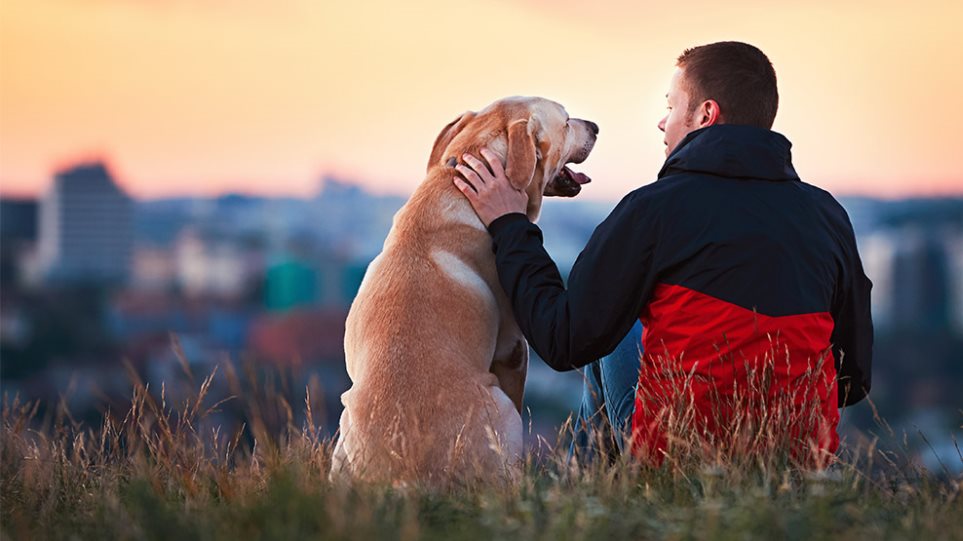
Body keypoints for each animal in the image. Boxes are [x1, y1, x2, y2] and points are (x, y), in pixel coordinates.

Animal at [336, 96, 600, 486]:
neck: (458, 183)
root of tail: (404, 476)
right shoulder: (513, 348)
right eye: (567, 122)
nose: (596, 126)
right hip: (501, 410)